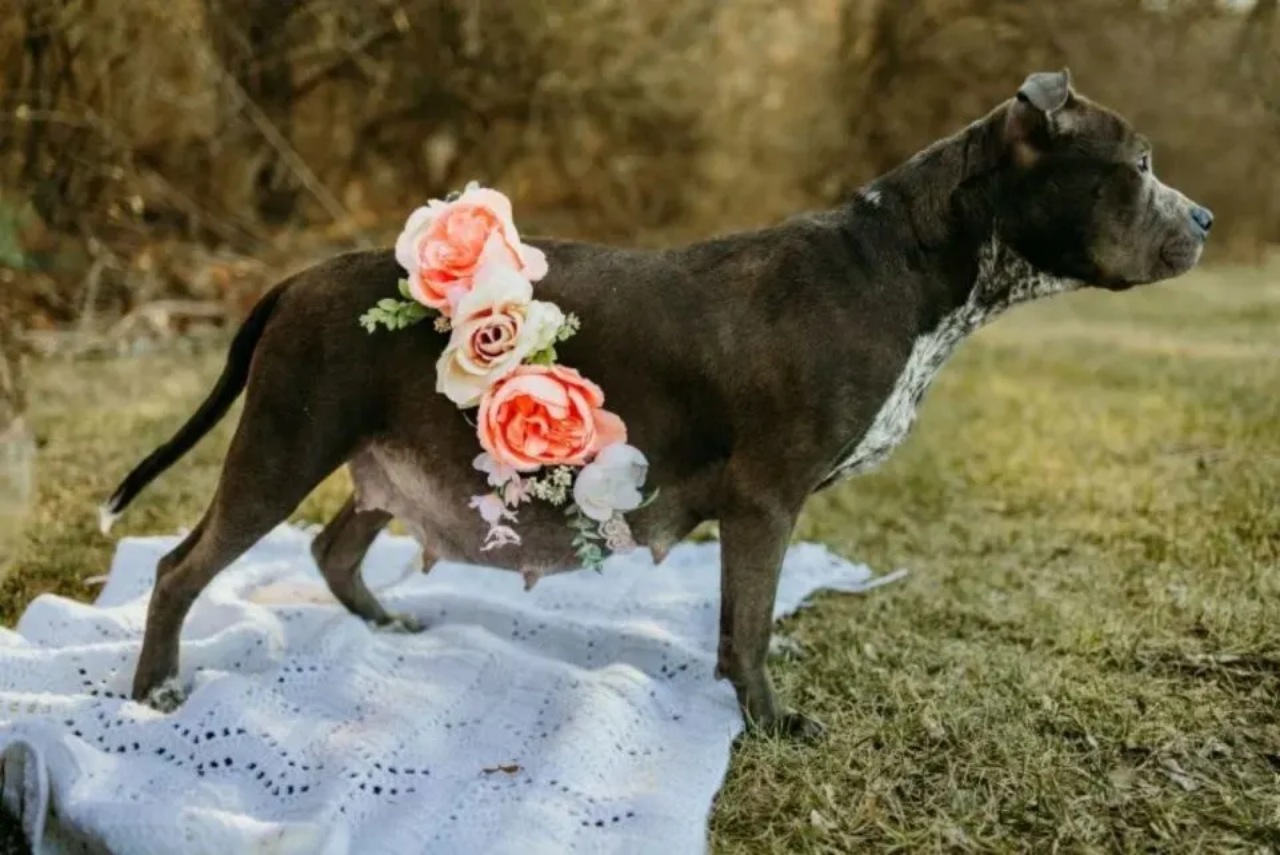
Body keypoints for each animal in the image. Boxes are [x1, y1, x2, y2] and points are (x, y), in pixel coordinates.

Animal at [99, 70, 1208, 737]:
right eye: (1138, 167)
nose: (1202, 217)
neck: (901, 264)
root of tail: (295, 279)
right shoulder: (766, 502)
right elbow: (746, 622)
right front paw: (768, 720)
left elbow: (743, 618)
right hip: (285, 444)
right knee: (181, 567)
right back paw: (156, 687)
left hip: (384, 456)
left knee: (334, 550)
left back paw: (382, 625)